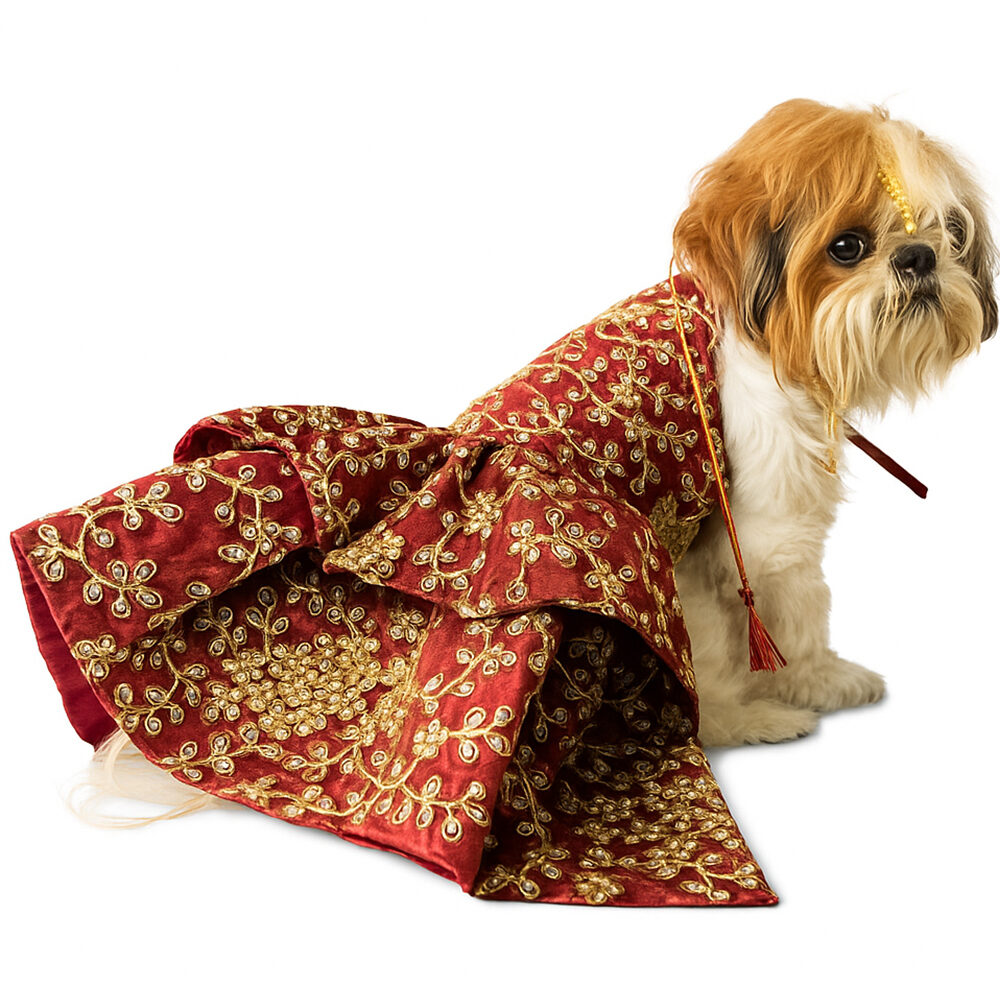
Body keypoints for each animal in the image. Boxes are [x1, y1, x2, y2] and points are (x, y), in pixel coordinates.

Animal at [671, 99, 997, 746]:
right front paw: (816, 680)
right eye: (847, 247)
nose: (917, 255)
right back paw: (750, 719)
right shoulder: (768, 530)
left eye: (949, 232)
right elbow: (796, 608)